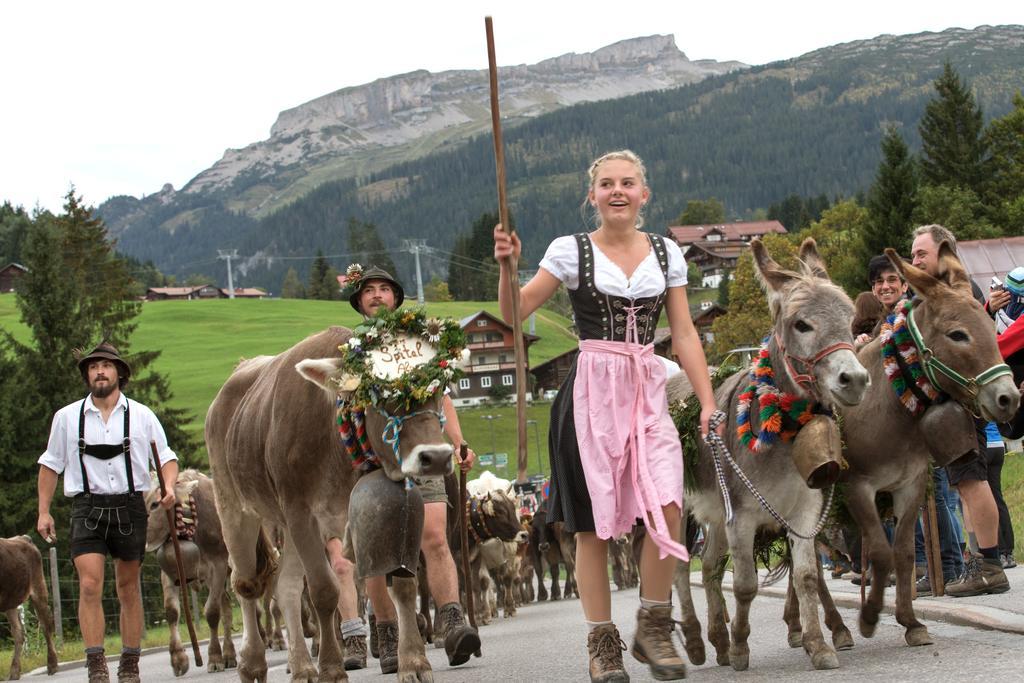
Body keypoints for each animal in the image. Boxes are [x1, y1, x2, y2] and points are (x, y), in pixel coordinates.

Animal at [144, 471, 235, 671]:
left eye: (155, 504)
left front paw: (214, 657)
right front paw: (178, 659)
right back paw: (229, 654)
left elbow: (212, 612)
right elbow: (171, 611)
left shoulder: (219, 564)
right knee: (226, 606)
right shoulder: (169, 571)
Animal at [207, 327, 452, 679]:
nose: (437, 457)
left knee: (286, 587)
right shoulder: (300, 512)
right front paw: (333, 669)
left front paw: (414, 662)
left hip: (286, 526)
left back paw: (301, 668)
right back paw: (252, 664)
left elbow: (404, 587)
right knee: (246, 584)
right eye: (380, 392)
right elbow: (324, 591)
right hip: (235, 507)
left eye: (439, 388)